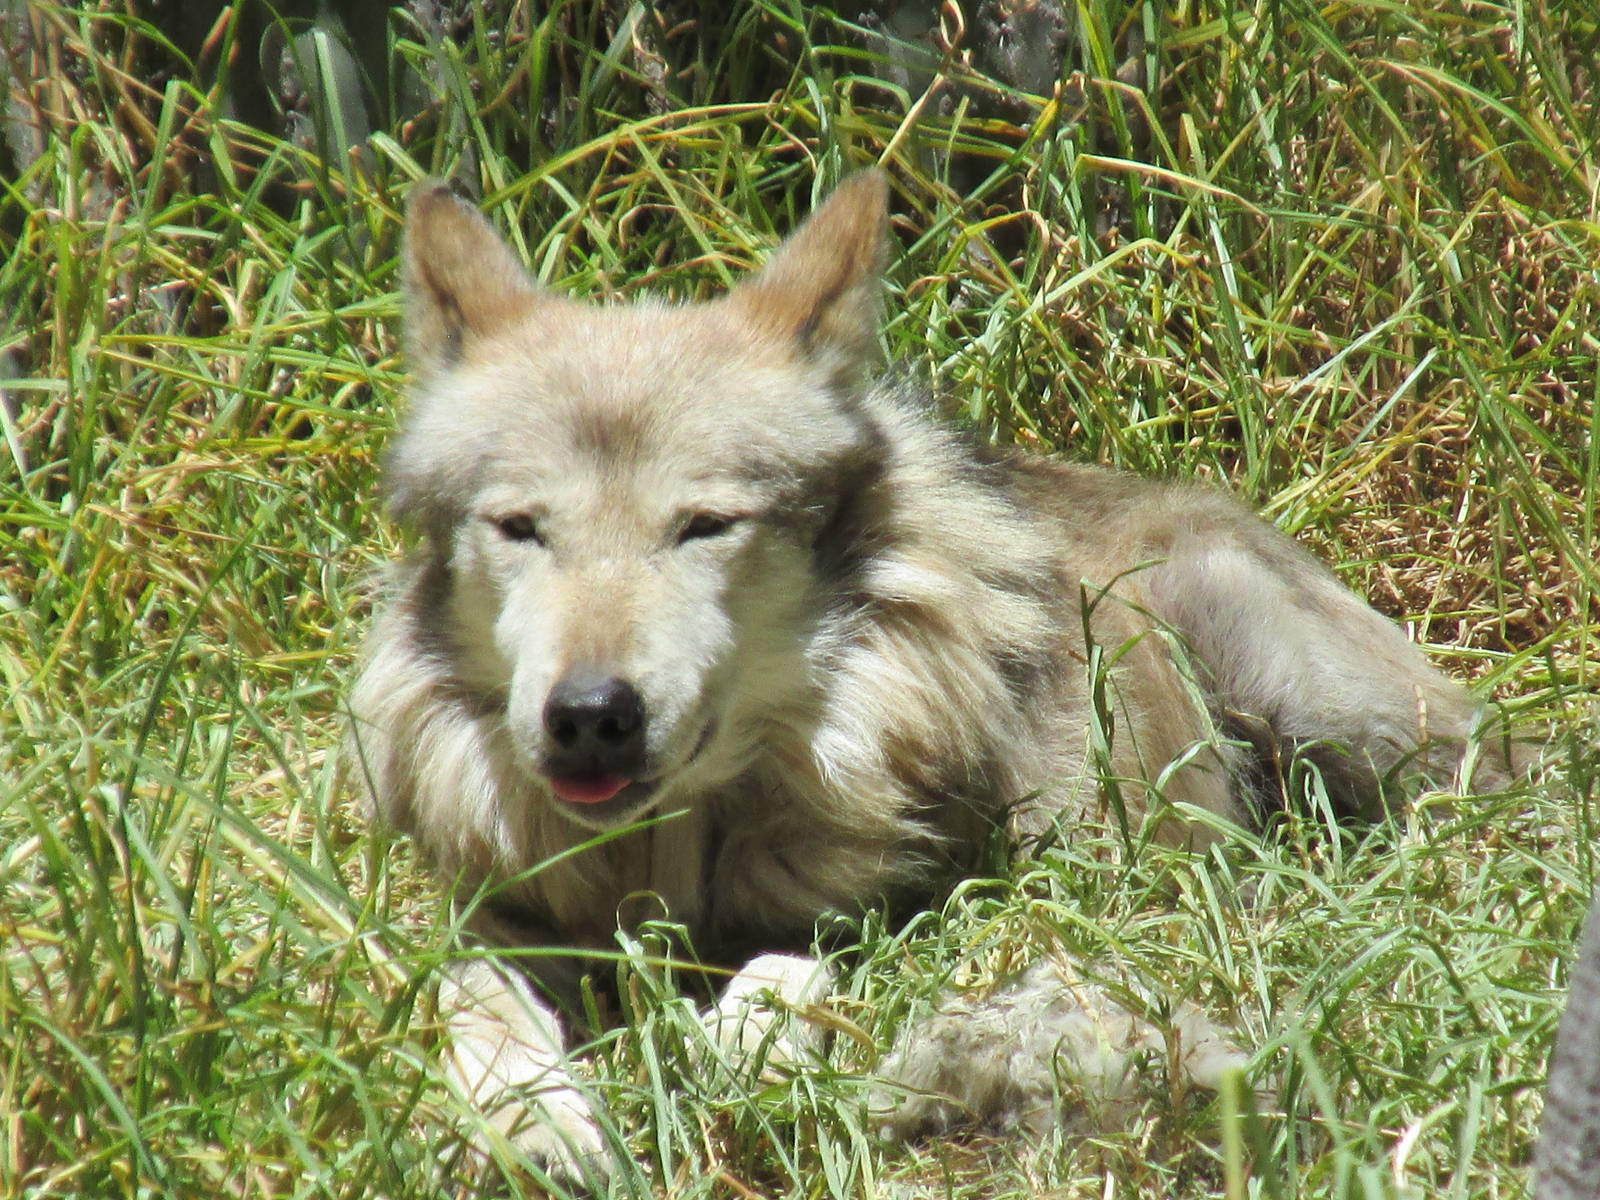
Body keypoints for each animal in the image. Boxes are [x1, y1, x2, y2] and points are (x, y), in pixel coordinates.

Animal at [347, 170, 1520, 1180]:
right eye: (520, 528)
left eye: (703, 526)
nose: (591, 715)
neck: (679, 849)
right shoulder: (497, 921)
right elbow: (464, 992)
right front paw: (533, 1123)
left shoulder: (956, 897)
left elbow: (799, 962)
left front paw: (740, 1040)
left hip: (1303, 690)